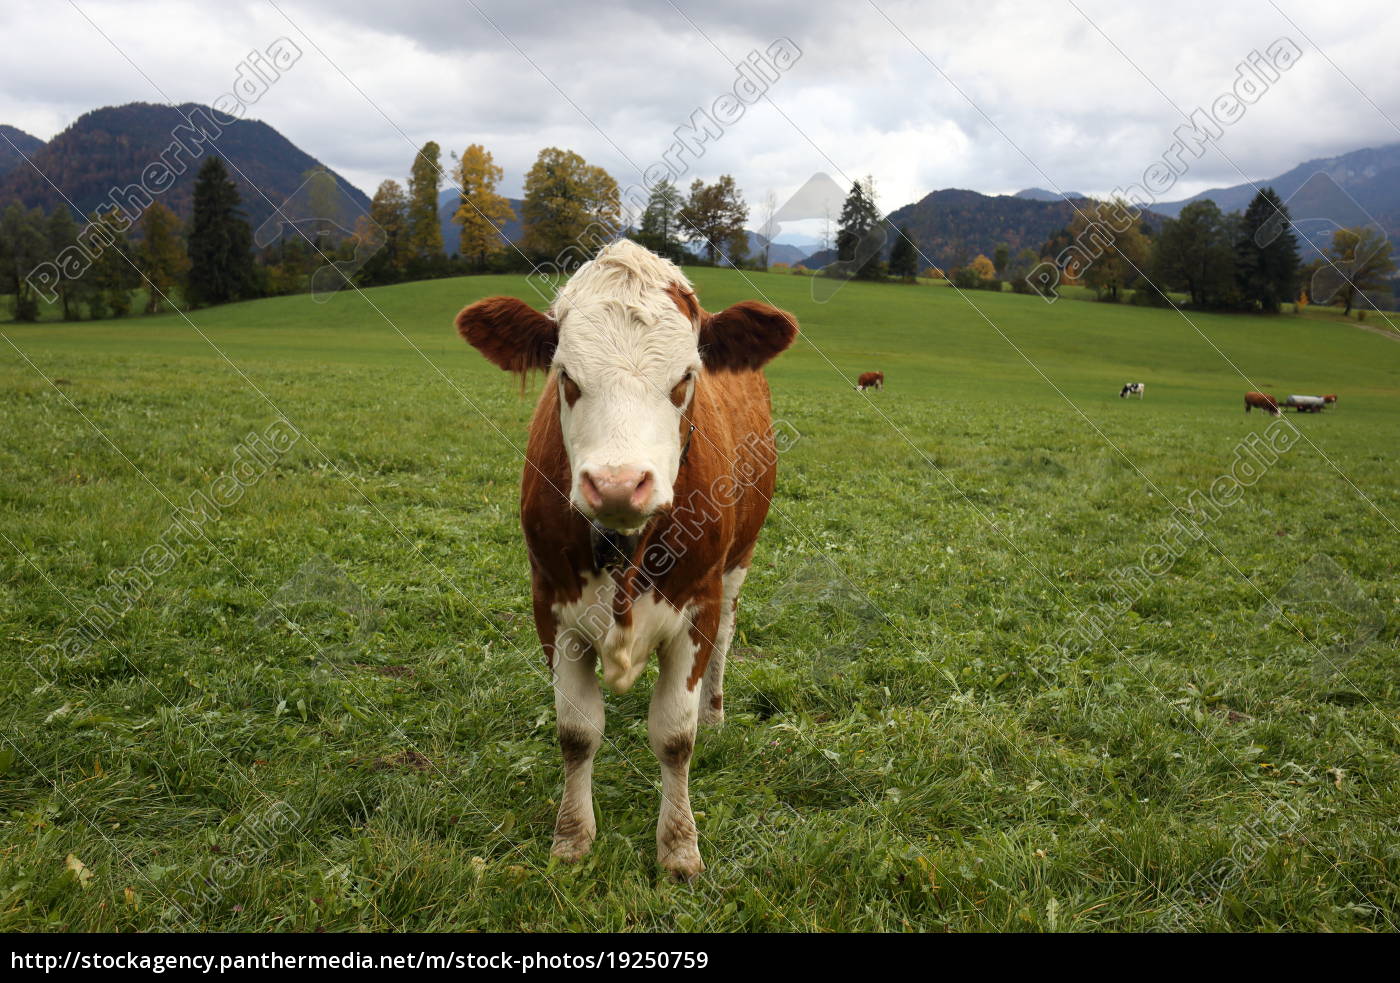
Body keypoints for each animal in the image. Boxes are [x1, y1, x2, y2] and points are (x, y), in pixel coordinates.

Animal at [453, 240, 795, 884]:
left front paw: (679, 848)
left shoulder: (697, 603)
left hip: (739, 562)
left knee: (727, 637)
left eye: (685, 378)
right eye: (566, 376)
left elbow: (675, 736)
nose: (616, 483)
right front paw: (571, 837)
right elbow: (577, 732)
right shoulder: (550, 604)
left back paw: (715, 711)